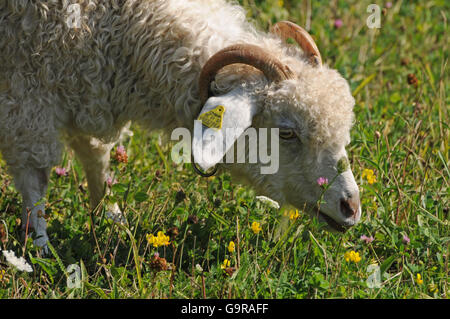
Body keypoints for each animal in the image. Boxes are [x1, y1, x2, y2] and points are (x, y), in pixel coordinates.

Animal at [0, 0, 358, 252]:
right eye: (287, 132)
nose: (351, 207)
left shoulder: (84, 85)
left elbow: (95, 156)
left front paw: (112, 218)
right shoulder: (26, 91)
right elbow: (34, 177)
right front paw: (40, 249)